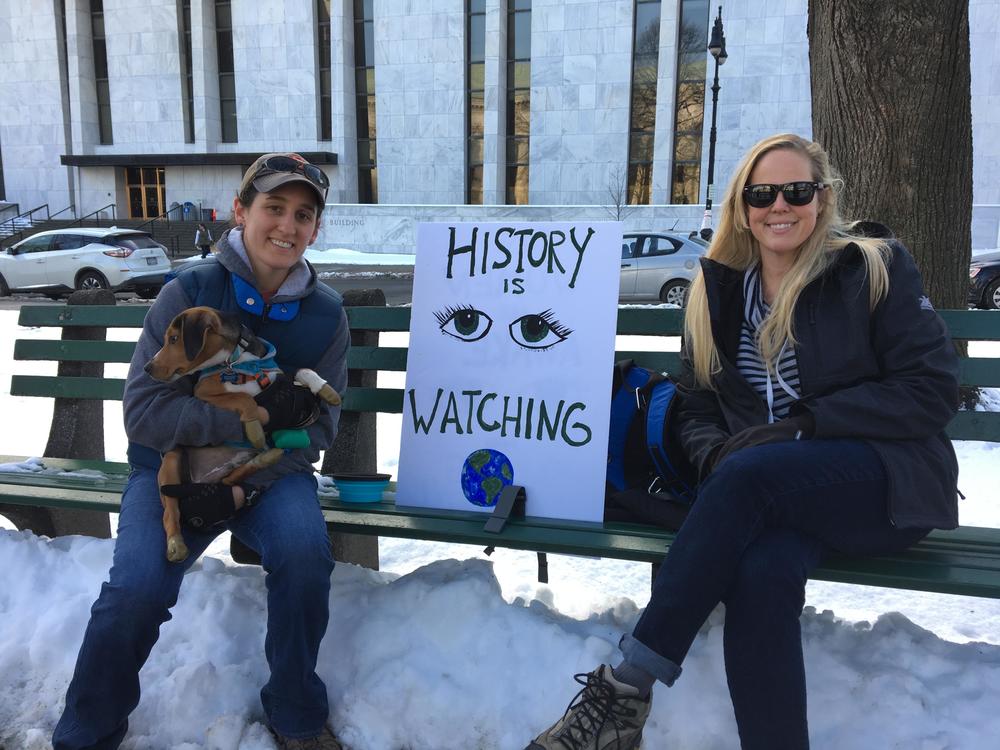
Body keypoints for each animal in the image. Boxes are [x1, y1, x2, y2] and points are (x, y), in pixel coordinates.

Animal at [143, 306, 342, 564]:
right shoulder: (204, 395)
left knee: (232, 480)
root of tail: (202, 481)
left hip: (228, 472)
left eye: (174, 339)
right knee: (171, 511)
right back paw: (175, 544)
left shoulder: (278, 377)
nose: (147, 367)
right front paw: (255, 428)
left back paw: (265, 458)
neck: (235, 362)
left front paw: (327, 391)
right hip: (172, 460)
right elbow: (244, 398)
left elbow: (300, 370)